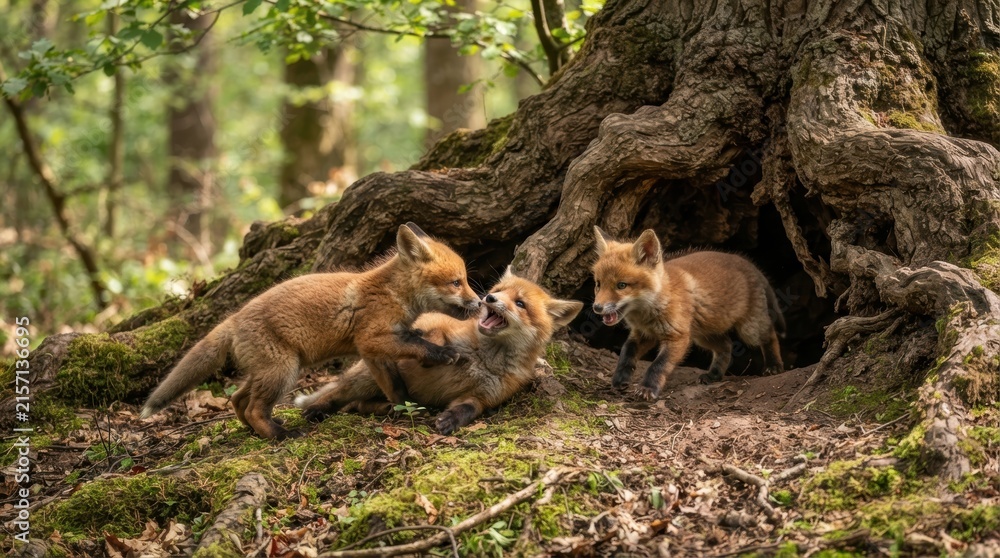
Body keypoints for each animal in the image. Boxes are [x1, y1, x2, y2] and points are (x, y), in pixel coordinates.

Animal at [140, 223, 481, 440]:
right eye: (456, 282)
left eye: (465, 280)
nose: (479, 302)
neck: (392, 293)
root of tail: (234, 318)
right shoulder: (370, 339)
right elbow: (416, 344)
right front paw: (441, 354)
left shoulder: (374, 353)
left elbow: (394, 385)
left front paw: (404, 407)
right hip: (284, 370)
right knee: (253, 408)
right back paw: (281, 435)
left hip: (269, 371)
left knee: (238, 399)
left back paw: (255, 431)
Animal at [294, 268, 583, 435]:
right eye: (499, 291)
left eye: (520, 303)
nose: (488, 298)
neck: (484, 359)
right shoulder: (440, 328)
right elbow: (434, 338)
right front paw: (435, 353)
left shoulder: (483, 397)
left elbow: (467, 409)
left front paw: (449, 421)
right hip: (365, 379)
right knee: (338, 396)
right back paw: (317, 410)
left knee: (359, 405)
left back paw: (390, 408)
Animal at [591, 226, 785, 400]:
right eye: (598, 284)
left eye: (621, 285)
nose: (596, 308)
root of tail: (749, 263)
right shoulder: (644, 334)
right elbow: (627, 352)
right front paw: (620, 378)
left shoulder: (678, 336)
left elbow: (658, 365)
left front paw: (648, 388)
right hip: (703, 334)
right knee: (726, 345)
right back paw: (714, 375)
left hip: (748, 329)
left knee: (769, 335)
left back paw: (774, 366)